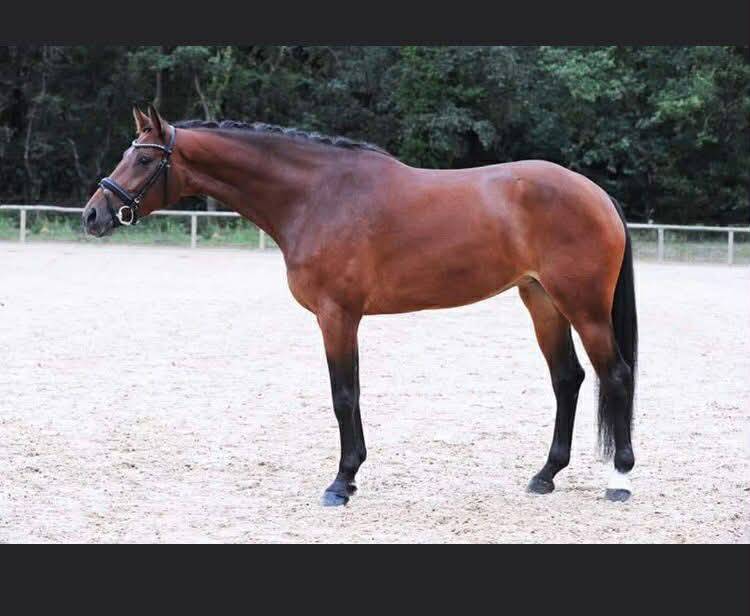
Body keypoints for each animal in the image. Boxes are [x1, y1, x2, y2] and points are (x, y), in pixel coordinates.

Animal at [82, 104, 638, 506]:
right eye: (130, 154)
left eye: (145, 160)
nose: (93, 214)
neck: (316, 196)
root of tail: (598, 194)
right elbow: (348, 394)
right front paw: (348, 478)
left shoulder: (337, 316)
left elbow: (343, 395)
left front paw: (340, 482)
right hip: (542, 301)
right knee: (568, 379)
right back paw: (545, 475)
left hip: (584, 307)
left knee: (615, 375)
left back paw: (620, 478)